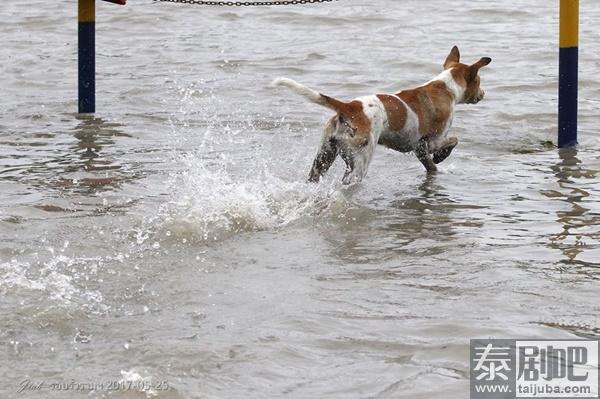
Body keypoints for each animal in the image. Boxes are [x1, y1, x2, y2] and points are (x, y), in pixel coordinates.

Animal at [276, 46, 492, 184]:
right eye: (479, 81)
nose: (483, 94)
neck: (445, 87)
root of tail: (350, 107)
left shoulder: (419, 148)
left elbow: (430, 165)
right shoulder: (432, 141)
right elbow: (454, 140)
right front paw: (441, 156)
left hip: (323, 157)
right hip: (358, 163)